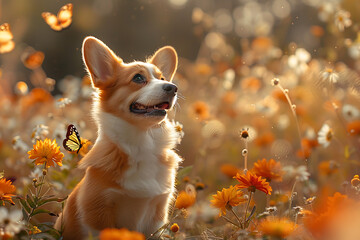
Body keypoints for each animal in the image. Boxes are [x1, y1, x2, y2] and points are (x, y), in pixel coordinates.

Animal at [53, 36, 181, 239]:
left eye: (162, 79)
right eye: (138, 78)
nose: (173, 87)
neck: (141, 142)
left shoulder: (157, 214)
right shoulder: (98, 212)